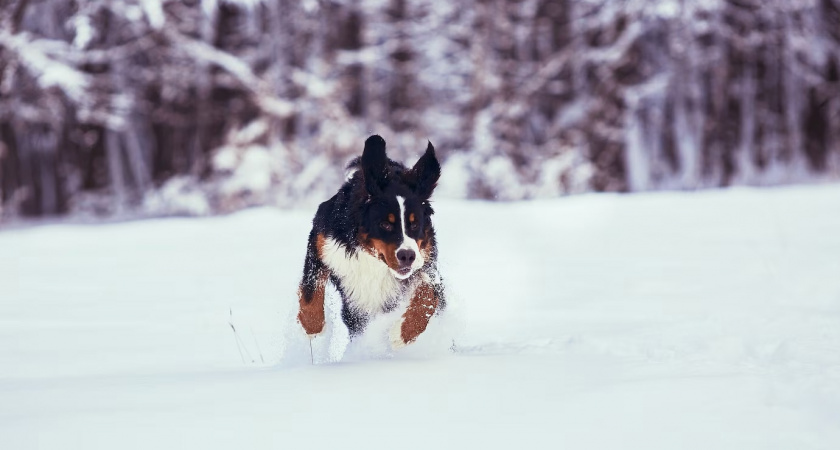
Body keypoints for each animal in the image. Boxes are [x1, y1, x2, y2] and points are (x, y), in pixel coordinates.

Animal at [296, 135, 446, 350]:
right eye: (385, 224)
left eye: (415, 223)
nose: (407, 256)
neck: (369, 254)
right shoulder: (320, 242)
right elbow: (311, 289)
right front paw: (311, 326)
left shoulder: (426, 262)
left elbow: (428, 294)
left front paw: (403, 333)